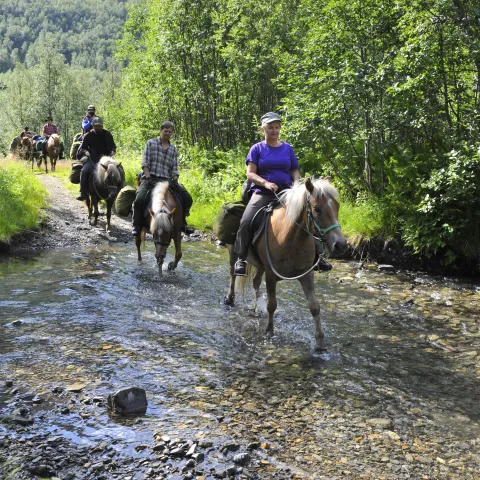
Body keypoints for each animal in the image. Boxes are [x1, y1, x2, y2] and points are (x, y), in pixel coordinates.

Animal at [225, 177, 344, 352]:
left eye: (337, 206)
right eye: (317, 209)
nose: (341, 245)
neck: (290, 238)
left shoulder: (307, 274)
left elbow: (315, 306)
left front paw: (320, 342)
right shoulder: (271, 275)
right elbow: (272, 304)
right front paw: (269, 331)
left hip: (260, 266)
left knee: (255, 282)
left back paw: (255, 308)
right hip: (234, 253)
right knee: (233, 274)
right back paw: (229, 298)